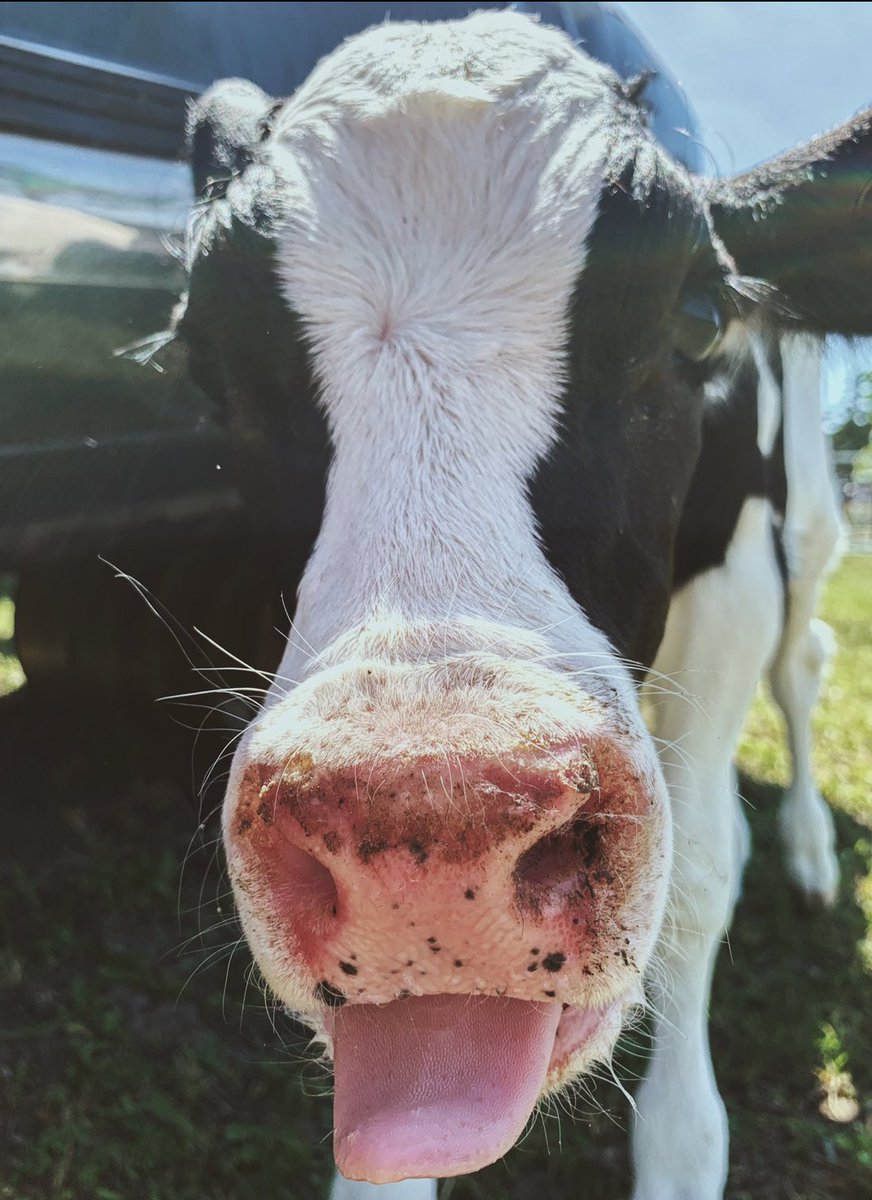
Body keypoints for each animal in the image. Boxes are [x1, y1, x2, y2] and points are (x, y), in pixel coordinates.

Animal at [173, 10, 872, 1199]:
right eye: (203, 357)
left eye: (697, 314)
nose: (428, 833)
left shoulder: (733, 569)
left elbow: (698, 877)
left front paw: (683, 1142)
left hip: (810, 520)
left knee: (804, 658)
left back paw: (810, 852)